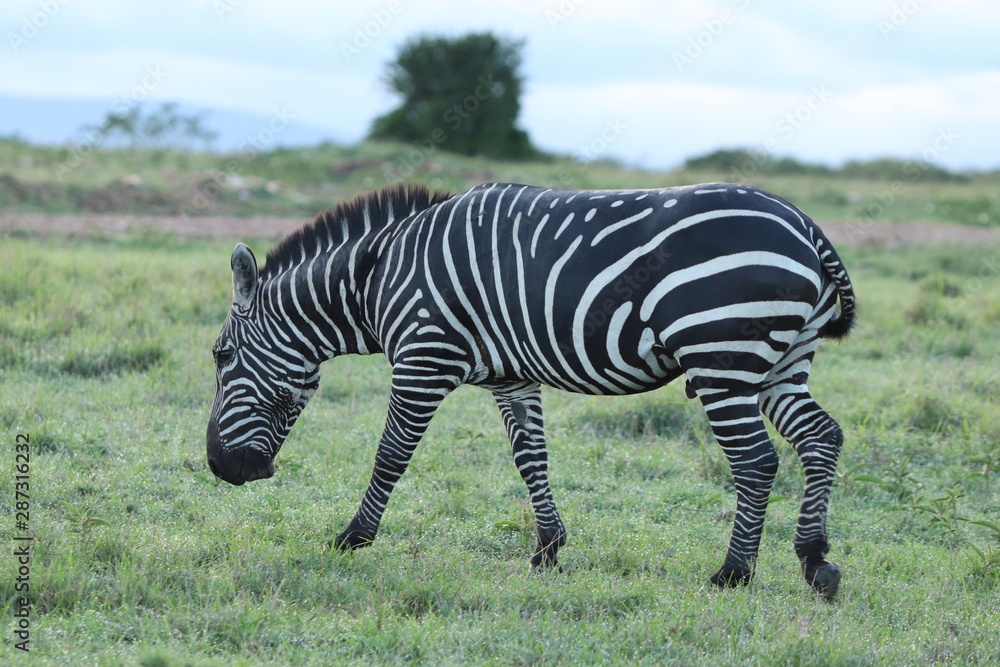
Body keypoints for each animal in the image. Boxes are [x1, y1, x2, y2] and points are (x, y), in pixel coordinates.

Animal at [207, 182, 856, 599]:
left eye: (221, 356)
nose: (220, 467)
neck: (376, 278)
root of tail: (806, 224)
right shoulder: (511, 376)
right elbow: (531, 458)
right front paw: (548, 549)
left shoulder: (424, 358)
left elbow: (391, 453)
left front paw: (353, 537)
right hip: (780, 360)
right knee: (820, 437)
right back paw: (815, 561)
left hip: (721, 356)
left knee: (757, 461)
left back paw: (733, 574)